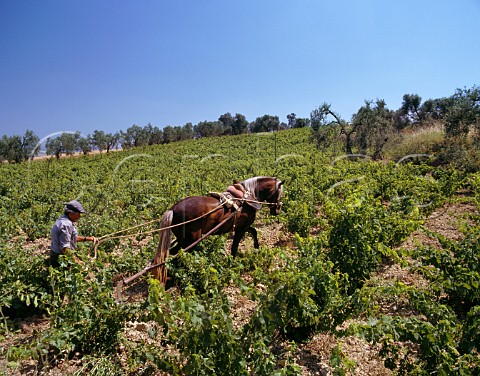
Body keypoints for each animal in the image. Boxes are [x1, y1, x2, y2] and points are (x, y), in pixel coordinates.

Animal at [152, 176, 284, 282]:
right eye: (279, 193)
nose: (277, 210)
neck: (247, 197)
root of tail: (172, 210)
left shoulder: (243, 226)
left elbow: (254, 231)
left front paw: (256, 248)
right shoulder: (241, 228)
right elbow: (235, 246)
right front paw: (232, 263)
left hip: (184, 240)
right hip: (191, 240)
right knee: (174, 255)